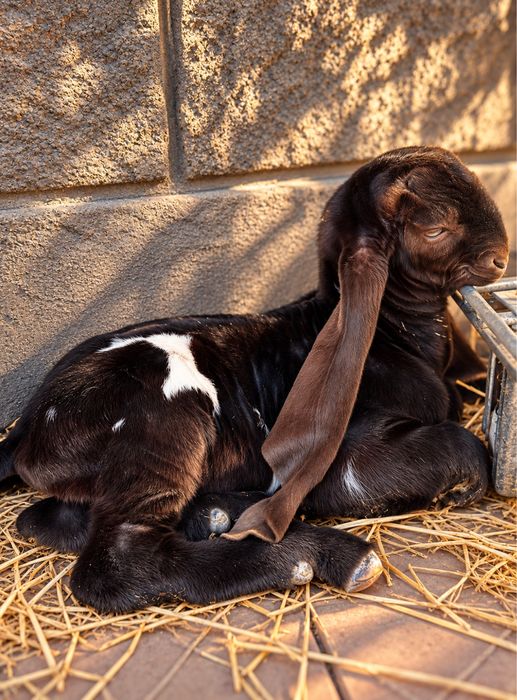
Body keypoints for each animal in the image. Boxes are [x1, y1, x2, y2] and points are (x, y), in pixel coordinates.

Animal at [0, 146, 508, 613]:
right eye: (436, 229)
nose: (501, 258)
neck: (392, 334)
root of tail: (28, 424)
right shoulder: (340, 455)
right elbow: (457, 446)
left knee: (48, 518)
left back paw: (215, 515)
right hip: (160, 421)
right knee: (115, 558)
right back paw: (312, 556)